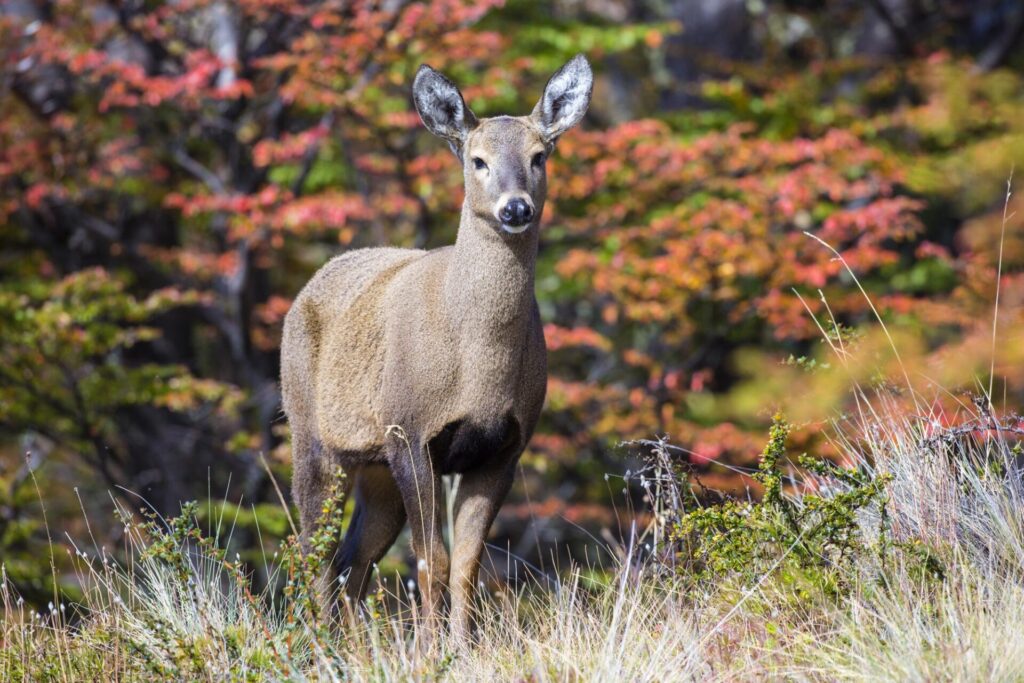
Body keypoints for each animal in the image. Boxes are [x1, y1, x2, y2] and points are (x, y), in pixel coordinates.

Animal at [280, 54, 598, 643]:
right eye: (477, 160)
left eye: (539, 156)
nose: (515, 208)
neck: (478, 366)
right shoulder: (410, 429)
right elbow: (433, 563)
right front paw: (433, 650)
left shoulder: (504, 447)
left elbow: (468, 565)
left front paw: (462, 646)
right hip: (312, 435)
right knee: (315, 553)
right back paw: (319, 645)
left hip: (376, 467)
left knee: (352, 561)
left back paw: (353, 647)